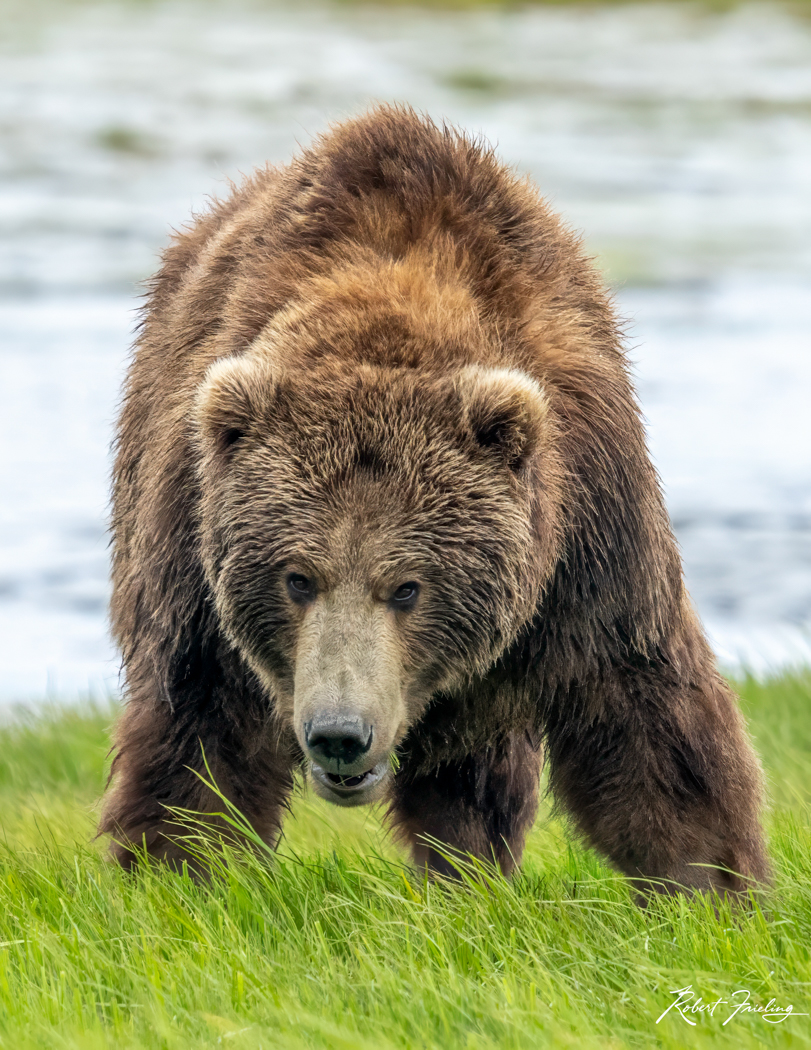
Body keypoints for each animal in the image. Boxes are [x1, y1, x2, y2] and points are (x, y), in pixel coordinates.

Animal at [100, 104, 769, 897]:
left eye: (408, 587)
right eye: (297, 578)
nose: (339, 734)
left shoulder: (589, 529)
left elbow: (649, 716)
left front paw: (712, 887)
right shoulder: (193, 544)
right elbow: (200, 744)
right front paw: (178, 876)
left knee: (475, 775)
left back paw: (467, 873)